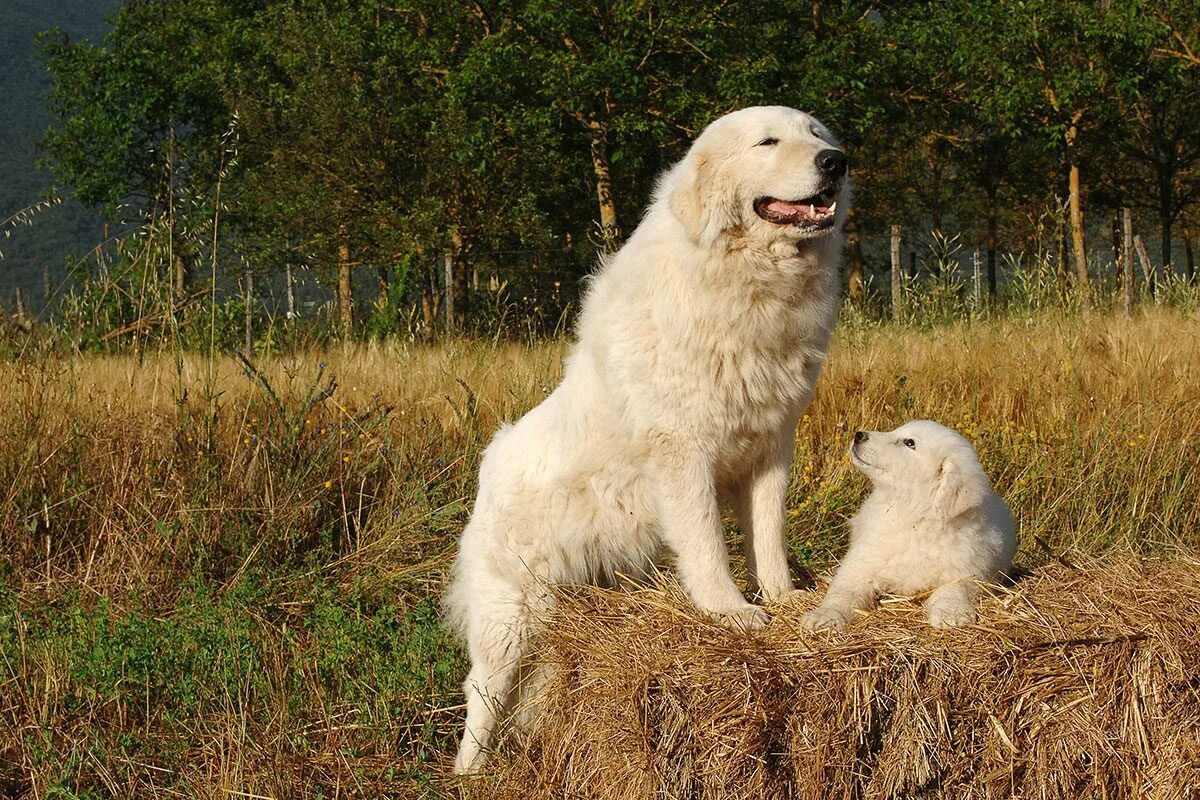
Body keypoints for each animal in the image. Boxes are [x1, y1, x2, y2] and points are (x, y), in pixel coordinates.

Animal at [446, 107, 849, 777]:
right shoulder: (684, 455)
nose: (836, 161)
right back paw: (469, 772)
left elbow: (767, 536)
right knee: (481, 695)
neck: (741, 279)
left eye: (817, 134)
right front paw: (731, 612)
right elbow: (707, 546)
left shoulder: (770, 447)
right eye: (768, 141)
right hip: (509, 618)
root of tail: (488, 466)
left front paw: (785, 599)